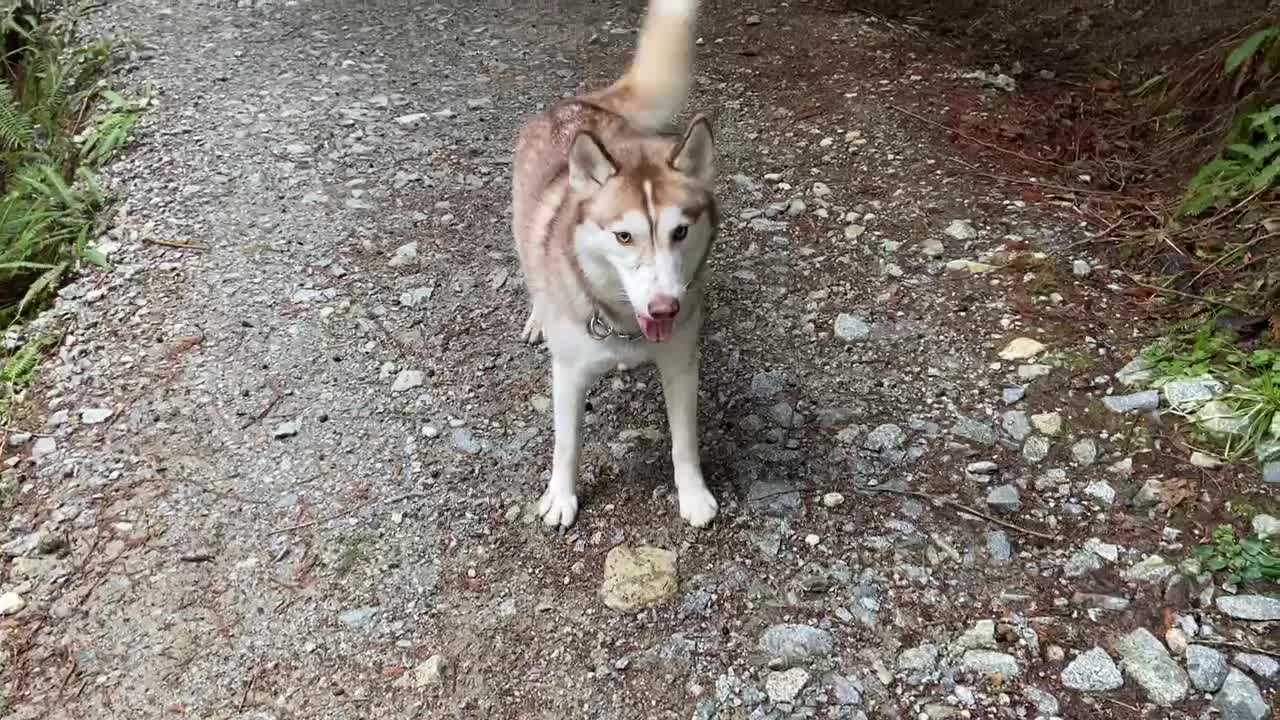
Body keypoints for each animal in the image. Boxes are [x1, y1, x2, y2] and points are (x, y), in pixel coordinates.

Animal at [512, 0, 721, 527]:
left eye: (680, 232)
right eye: (624, 236)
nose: (666, 308)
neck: (624, 324)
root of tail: (580, 104)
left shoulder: (681, 362)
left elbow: (684, 441)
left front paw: (692, 493)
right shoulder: (569, 374)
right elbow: (566, 444)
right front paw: (561, 497)